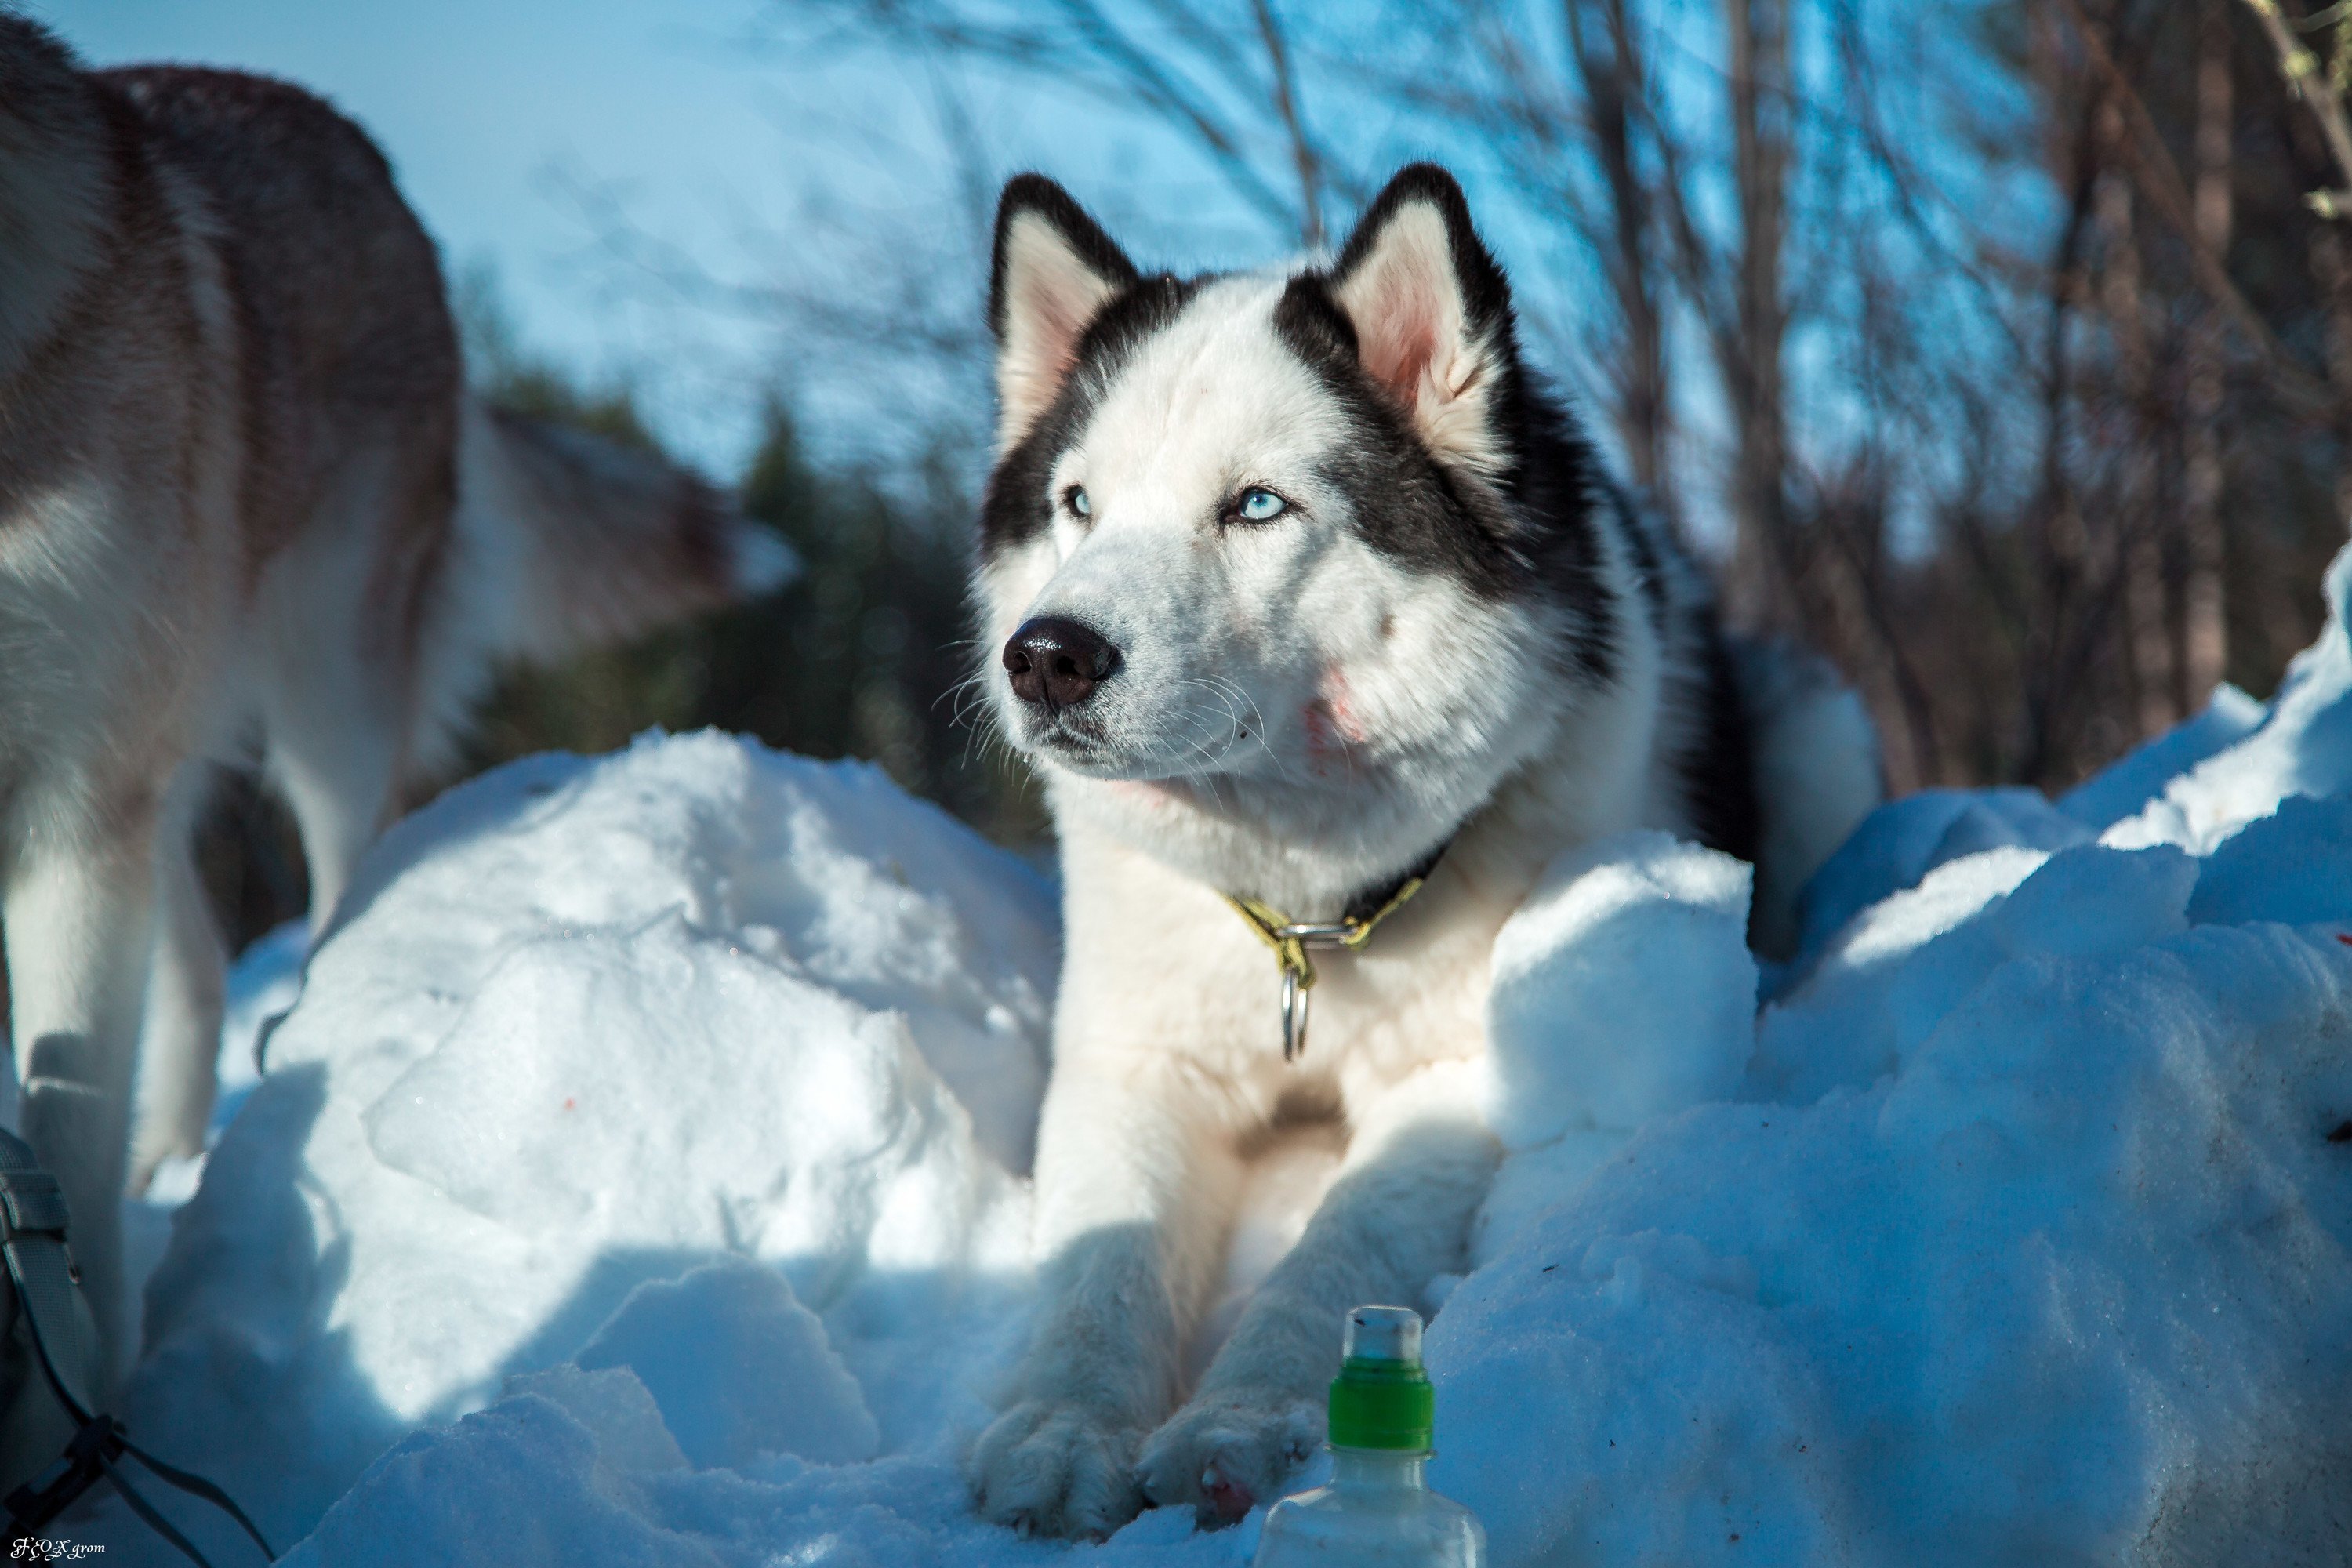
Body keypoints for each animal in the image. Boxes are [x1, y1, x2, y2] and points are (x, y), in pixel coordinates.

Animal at [0, 12, 786, 1382]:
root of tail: (353, 142)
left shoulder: (69, 803)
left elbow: (61, 1156)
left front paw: (81, 1390)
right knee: (197, 960)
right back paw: (176, 1163)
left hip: (320, 713)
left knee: (324, 904)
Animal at [964, 165, 1882, 1542]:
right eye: (1080, 505)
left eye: (1255, 505)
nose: (1046, 656)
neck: (1303, 910)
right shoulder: (1135, 1063)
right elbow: (1102, 1265)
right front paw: (1060, 1432)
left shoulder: (1452, 1080)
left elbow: (1338, 1252)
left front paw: (1240, 1420)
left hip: (1823, 738)